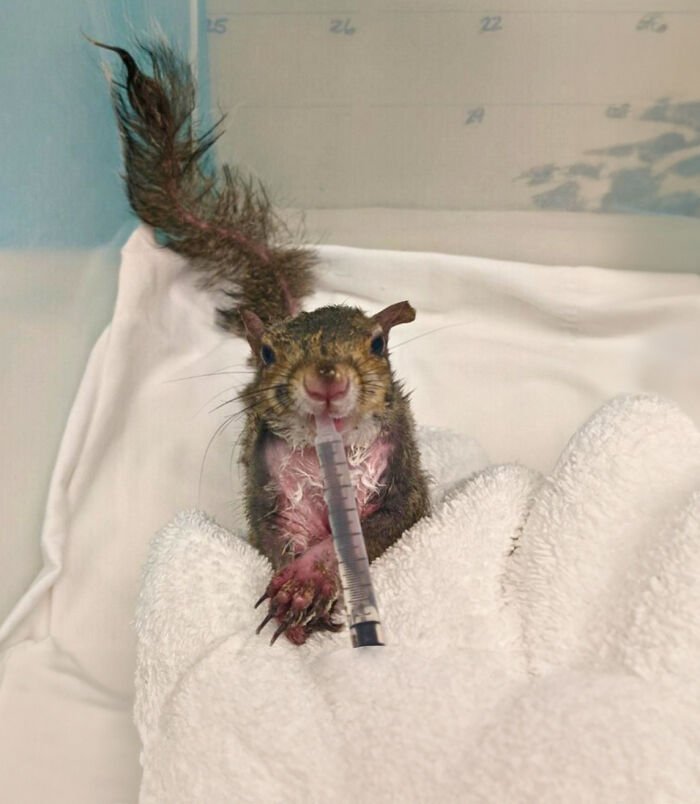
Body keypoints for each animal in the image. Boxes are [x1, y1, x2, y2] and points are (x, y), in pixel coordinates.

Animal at [92, 40, 431, 645]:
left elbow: (366, 536)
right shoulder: (269, 495)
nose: (325, 381)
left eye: (377, 346)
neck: (327, 458)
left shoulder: (404, 492)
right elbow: (280, 542)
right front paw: (296, 594)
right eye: (268, 354)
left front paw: (309, 585)